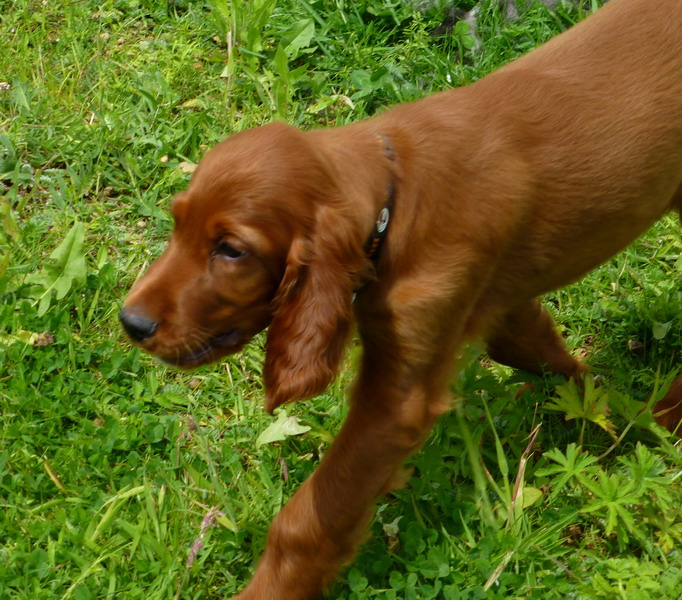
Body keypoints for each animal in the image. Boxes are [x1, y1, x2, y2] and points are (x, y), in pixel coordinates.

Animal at [120, 0, 682, 596]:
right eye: (177, 225)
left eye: (231, 250)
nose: (131, 323)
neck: (397, 193)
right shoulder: (494, 302)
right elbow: (540, 351)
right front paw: (606, 401)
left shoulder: (394, 403)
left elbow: (309, 521)